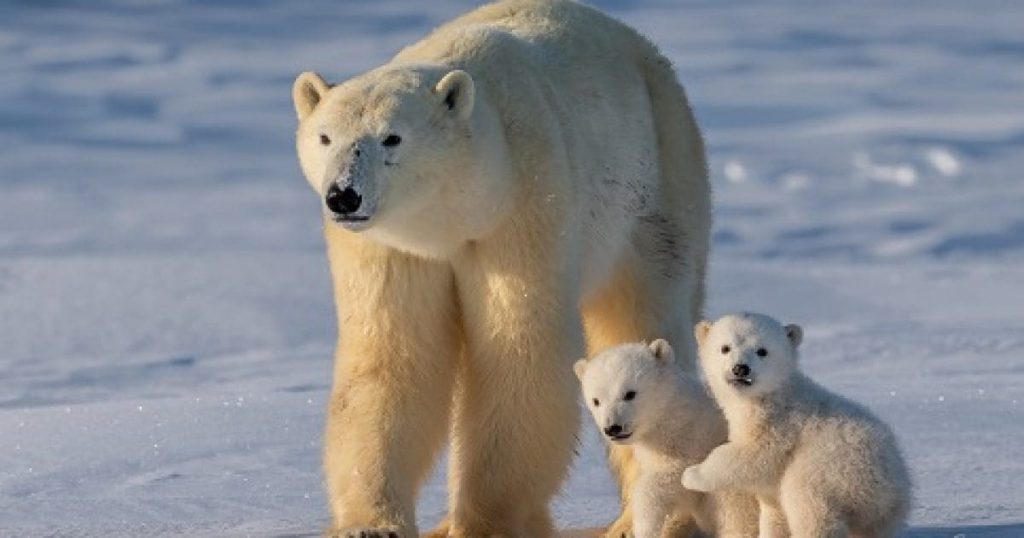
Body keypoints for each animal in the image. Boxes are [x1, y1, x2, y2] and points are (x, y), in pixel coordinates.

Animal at [290, 1, 711, 536]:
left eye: (392, 138)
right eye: (325, 137)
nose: (343, 195)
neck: (453, 216)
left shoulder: (523, 205)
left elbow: (518, 352)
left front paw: (486, 522)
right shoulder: (392, 247)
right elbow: (392, 356)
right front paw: (372, 523)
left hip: (657, 181)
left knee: (643, 313)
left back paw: (644, 519)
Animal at [575, 340, 759, 538]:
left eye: (630, 393)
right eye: (596, 400)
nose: (613, 428)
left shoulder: (693, 441)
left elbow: (672, 478)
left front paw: (644, 526)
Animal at [682, 313, 912, 538]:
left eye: (762, 351)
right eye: (725, 348)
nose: (741, 369)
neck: (772, 394)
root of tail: (892, 488)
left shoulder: (778, 424)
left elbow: (752, 455)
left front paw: (691, 475)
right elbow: (774, 510)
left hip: (831, 467)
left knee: (807, 505)